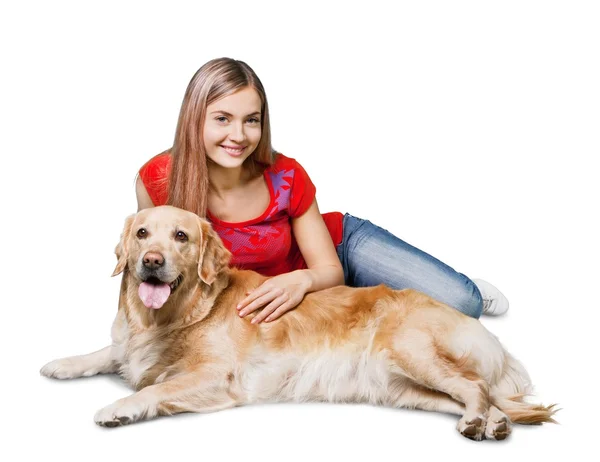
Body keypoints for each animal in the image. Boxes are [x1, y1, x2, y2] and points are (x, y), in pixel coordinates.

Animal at [41, 206, 556, 440]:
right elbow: (106, 352)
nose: (150, 262)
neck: (173, 315)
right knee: (482, 396)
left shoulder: (217, 376)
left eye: (182, 237)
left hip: (409, 350)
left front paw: (118, 408)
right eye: (143, 233)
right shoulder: (128, 345)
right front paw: (61, 364)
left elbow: (156, 387)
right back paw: (492, 424)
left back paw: (477, 422)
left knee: (475, 387)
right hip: (400, 388)